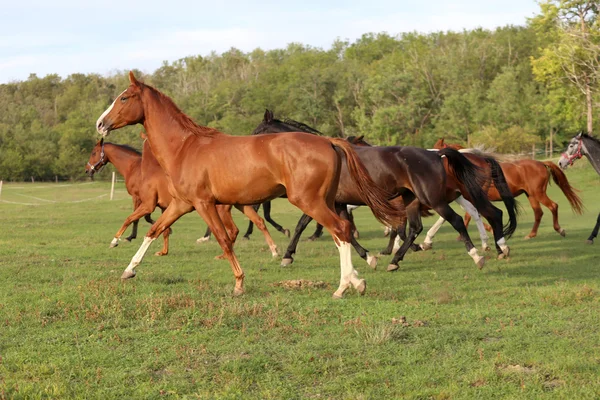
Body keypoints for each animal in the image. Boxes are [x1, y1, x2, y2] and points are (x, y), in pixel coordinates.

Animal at [96, 72, 404, 298]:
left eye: (124, 98)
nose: (100, 124)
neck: (185, 147)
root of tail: (328, 141)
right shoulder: (182, 204)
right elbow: (154, 230)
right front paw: (129, 269)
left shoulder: (204, 204)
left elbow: (223, 239)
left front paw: (239, 283)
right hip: (326, 201)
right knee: (343, 232)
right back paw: (354, 278)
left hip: (309, 201)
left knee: (339, 230)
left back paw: (345, 285)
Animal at [434, 138, 584, 238]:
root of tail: (541, 163)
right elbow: (473, 215)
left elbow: (470, 215)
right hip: (530, 195)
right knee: (538, 213)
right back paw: (531, 235)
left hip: (538, 193)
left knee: (553, 206)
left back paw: (559, 230)